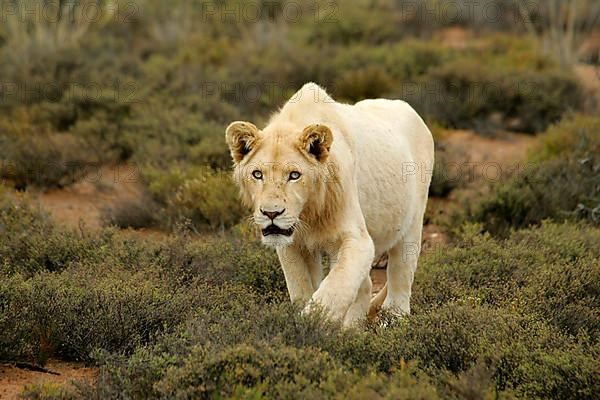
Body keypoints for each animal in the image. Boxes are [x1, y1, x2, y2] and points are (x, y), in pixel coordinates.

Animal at [227, 82, 434, 324]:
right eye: (257, 174)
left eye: (294, 175)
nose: (271, 213)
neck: (308, 213)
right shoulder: (292, 245)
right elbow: (301, 286)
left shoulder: (357, 239)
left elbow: (335, 288)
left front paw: (311, 323)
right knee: (365, 285)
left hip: (413, 222)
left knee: (400, 273)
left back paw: (394, 318)